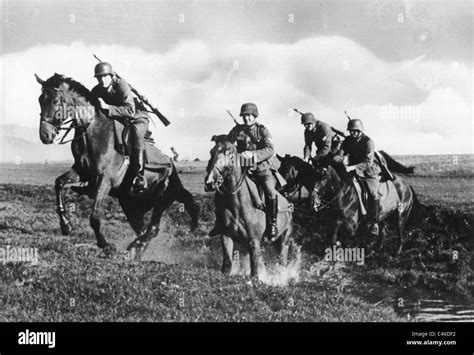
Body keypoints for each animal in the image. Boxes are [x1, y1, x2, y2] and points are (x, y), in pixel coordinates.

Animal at [35, 73, 198, 260]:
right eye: (40, 100)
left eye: (55, 100)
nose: (45, 135)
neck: (93, 131)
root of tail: (175, 173)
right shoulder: (82, 172)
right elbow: (59, 183)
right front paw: (66, 225)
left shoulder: (105, 181)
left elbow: (94, 217)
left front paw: (105, 244)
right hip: (130, 204)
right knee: (143, 229)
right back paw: (135, 253)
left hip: (161, 200)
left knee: (152, 229)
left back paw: (131, 249)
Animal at [205, 136, 294, 278]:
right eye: (211, 152)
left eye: (230, 153)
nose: (209, 182)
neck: (237, 205)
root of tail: (288, 204)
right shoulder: (226, 235)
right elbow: (227, 262)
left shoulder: (254, 241)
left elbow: (254, 269)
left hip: (283, 242)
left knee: (282, 261)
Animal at [278, 155, 422, 253]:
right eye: (312, 175)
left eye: (324, 177)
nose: (311, 201)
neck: (342, 192)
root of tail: (406, 186)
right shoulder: (334, 220)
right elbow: (333, 235)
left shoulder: (352, 224)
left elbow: (348, 237)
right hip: (384, 216)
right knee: (383, 232)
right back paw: (376, 249)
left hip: (400, 217)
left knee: (400, 234)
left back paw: (397, 252)